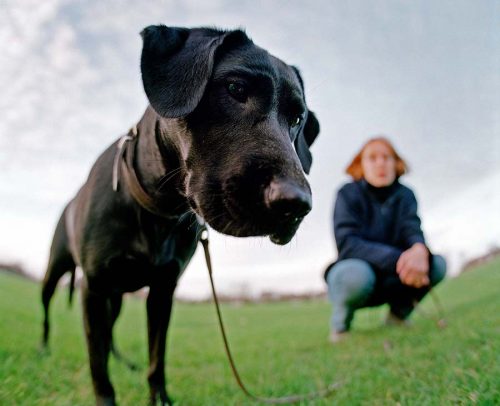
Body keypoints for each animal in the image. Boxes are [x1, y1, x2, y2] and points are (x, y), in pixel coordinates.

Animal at [41, 25, 318, 406]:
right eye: (236, 89)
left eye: (297, 119)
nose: (296, 204)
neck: (158, 210)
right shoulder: (94, 287)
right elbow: (99, 368)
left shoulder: (162, 291)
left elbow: (156, 358)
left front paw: (159, 397)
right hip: (58, 271)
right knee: (49, 311)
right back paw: (43, 348)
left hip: (117, 296)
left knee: (111, 333)